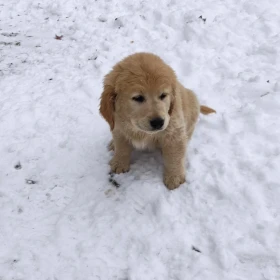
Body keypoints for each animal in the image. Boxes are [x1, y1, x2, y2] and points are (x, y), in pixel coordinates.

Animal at [99, 52, 215, 190]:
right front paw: (119, 163)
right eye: (138, 98)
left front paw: (174, 177)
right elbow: (121, 146)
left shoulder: (174, 131)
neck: (139, 131)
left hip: (192, 104)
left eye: (163, 95)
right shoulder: (118, 126)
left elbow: (175, 157)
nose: (158, 122)